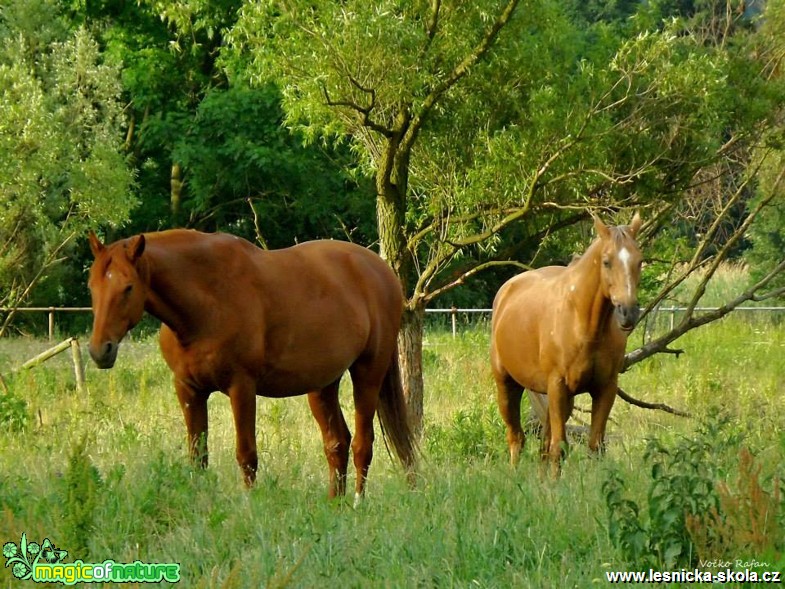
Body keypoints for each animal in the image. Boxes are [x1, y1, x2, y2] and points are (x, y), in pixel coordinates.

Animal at [87, 227, 416, 498]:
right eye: (92, 287)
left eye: (128, 287)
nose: (99, 350)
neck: (207, 300)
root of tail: (381, 271)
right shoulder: (188, 390)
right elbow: (198, 456)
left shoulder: (241, 387)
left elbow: (246, 455)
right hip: (323, 385)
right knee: (337, 443)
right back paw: (336, 503)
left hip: (368, 374)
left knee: (363, 444)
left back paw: (358, 502)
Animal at [494, 214, 640, 476]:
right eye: (607, 262)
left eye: (640, 262)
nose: (628, 313)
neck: (584, 324)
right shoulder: (557, 386)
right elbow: (559, 447)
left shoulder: (605, 388)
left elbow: (594, 446)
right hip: (507, 384)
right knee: (516, 438)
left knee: (543, 442)